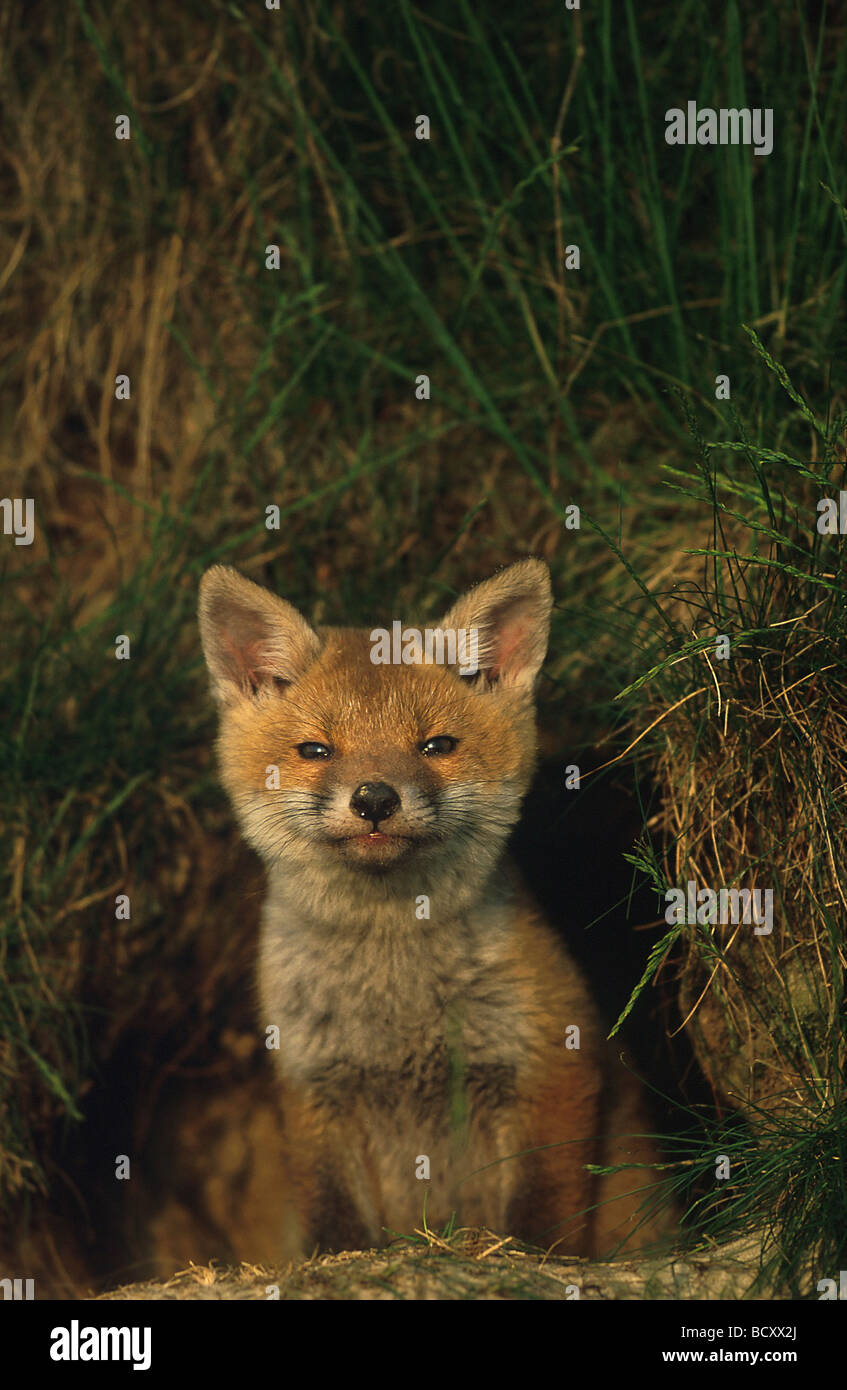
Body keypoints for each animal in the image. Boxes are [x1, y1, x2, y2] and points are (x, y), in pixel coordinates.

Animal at [196, 556, 667, 1262]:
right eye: (316, 751)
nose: (374, 798)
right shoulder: (315, 1089)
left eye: (436, 746)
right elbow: (335, 1224)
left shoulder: (551, 1067)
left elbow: (541, 1216)